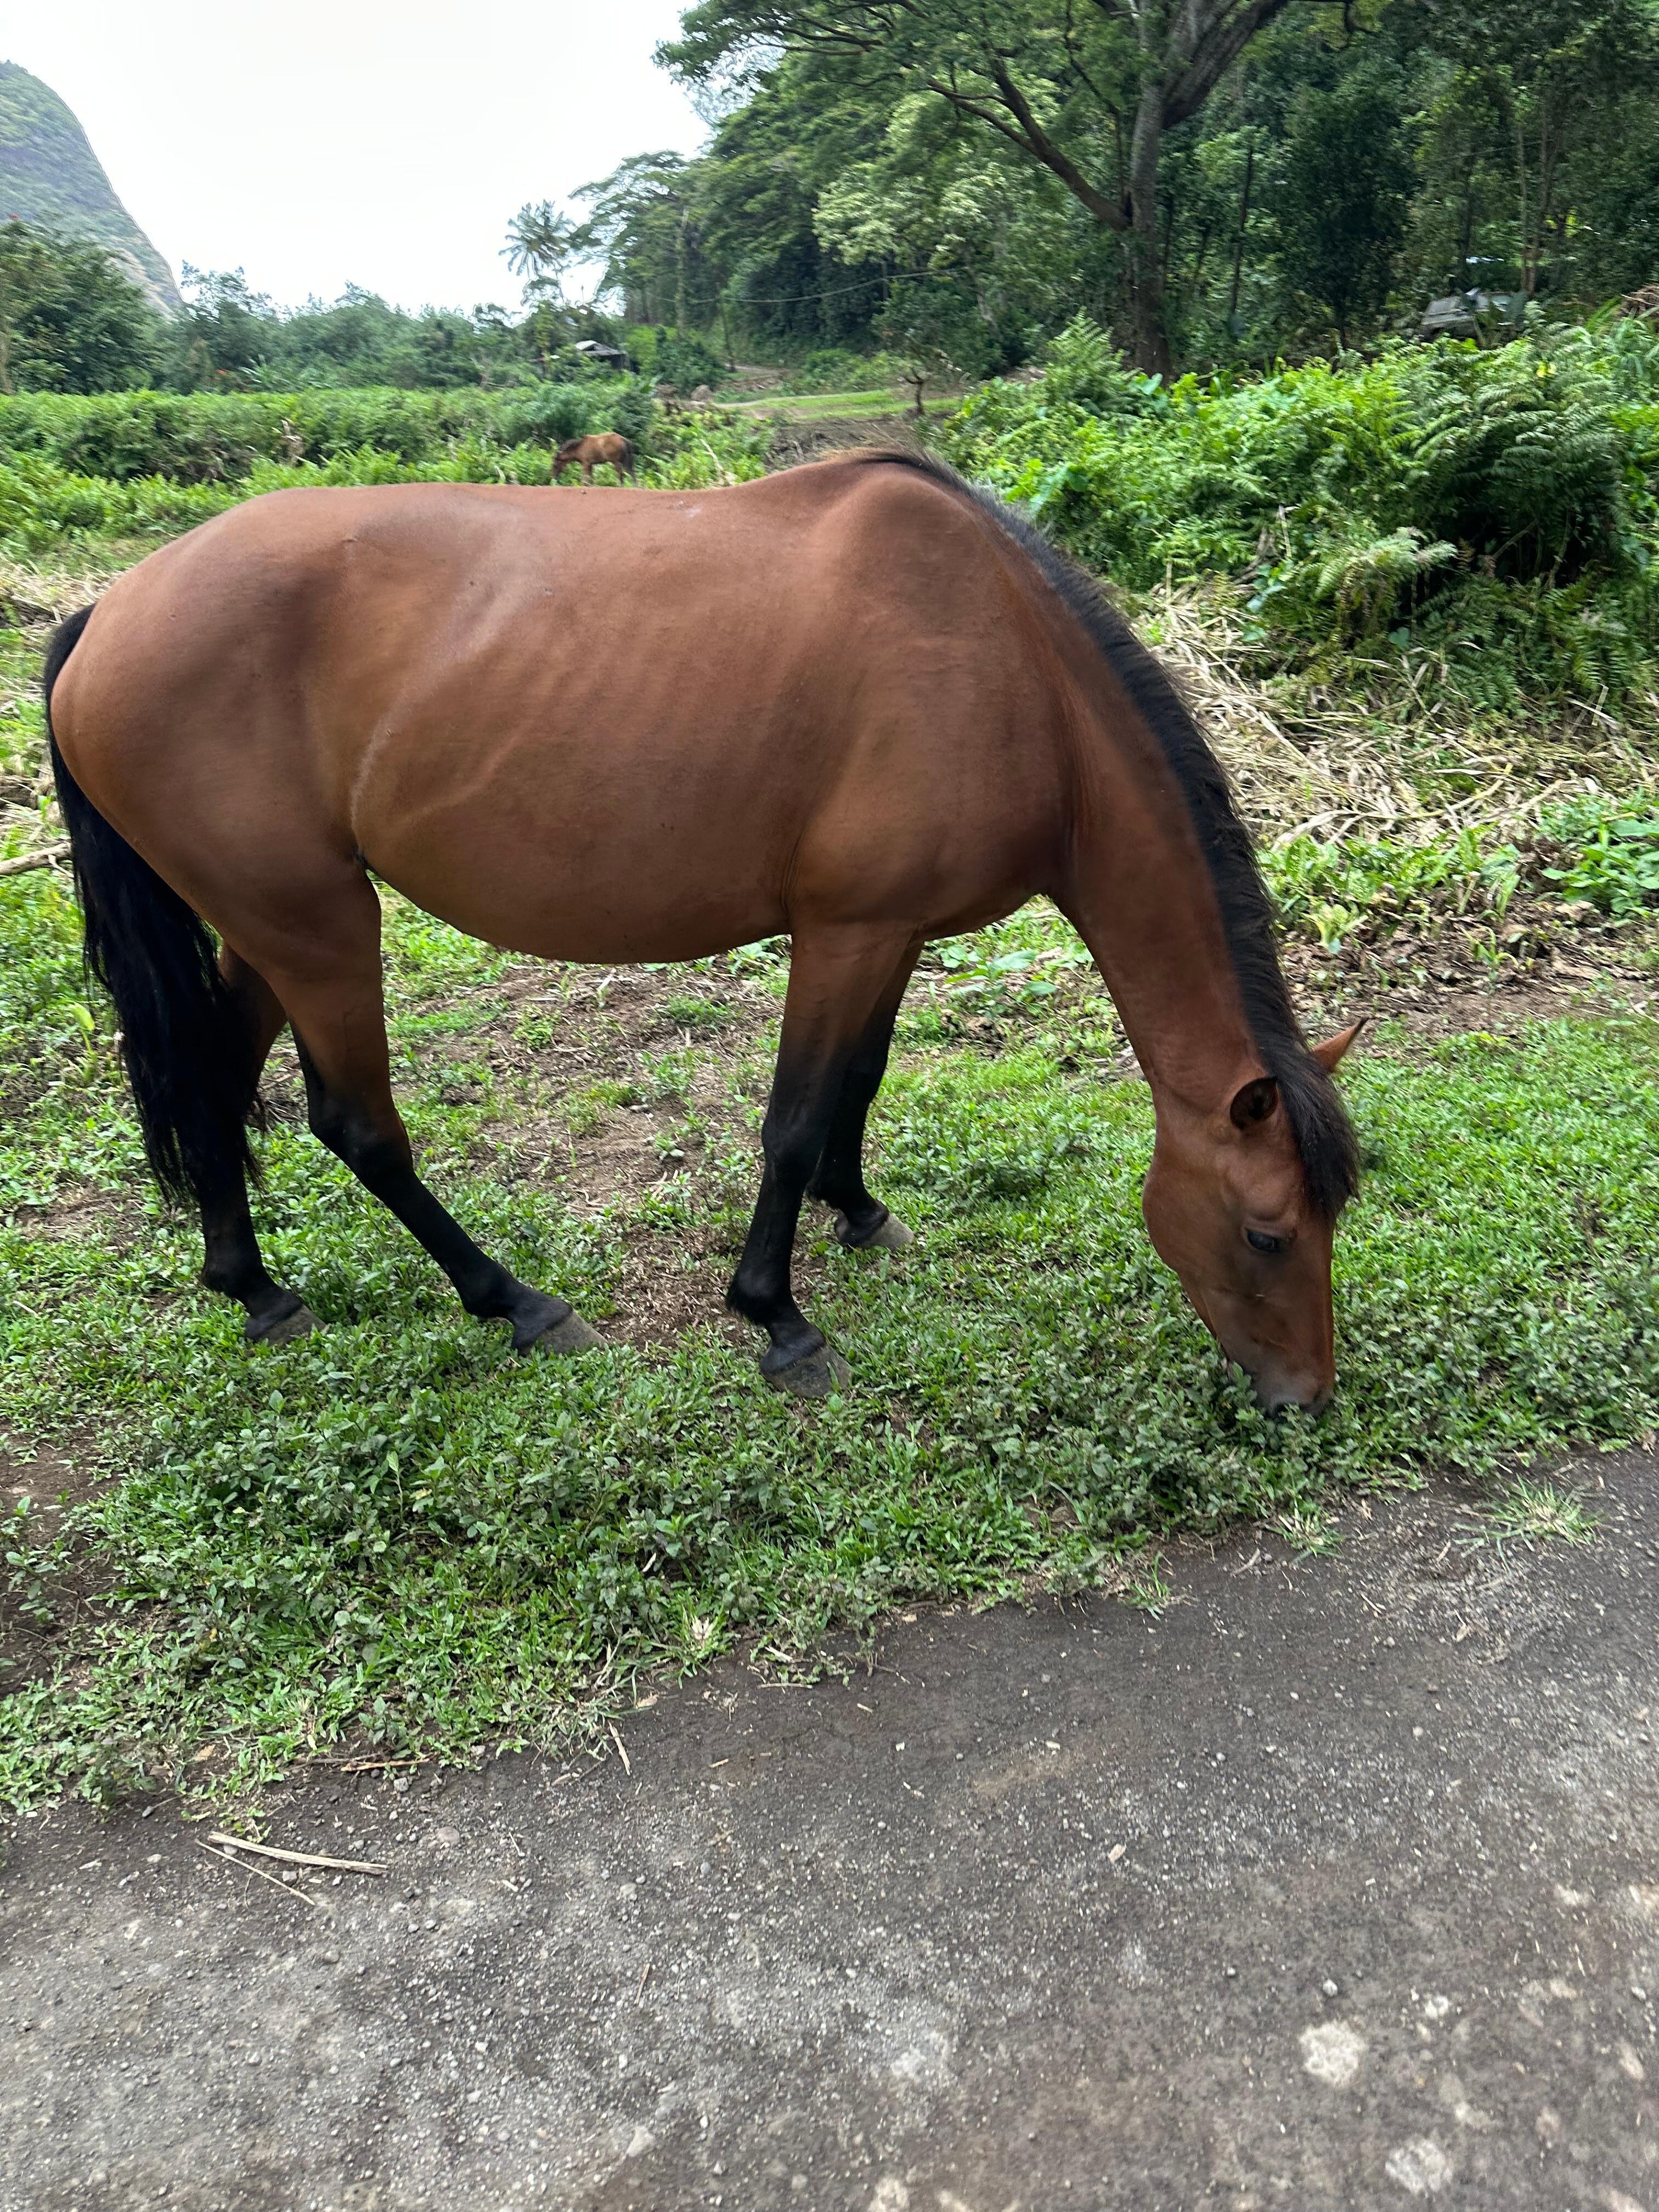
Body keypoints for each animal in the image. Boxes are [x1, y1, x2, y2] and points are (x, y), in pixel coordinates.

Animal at [43, 449, 1361, 1410]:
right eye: (1266, 1234)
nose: (1304, 1397)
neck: (1012, 669)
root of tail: (107, 612)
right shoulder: (846, 930)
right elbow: (791, 1120)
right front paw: (778, 1317)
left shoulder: (895, 932)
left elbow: (857, 1083)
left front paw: (859, 1212)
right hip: (319, 928)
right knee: (360, 1128)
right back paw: (515, 1303)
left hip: (269, 926)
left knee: (214, 1081)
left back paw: (254, 1289)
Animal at [551, 432, 634, 486]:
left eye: (555, 465)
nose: (553, 477)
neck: (578, 449)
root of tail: (624, 440)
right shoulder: (590, 465)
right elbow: (591, 480)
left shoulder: (585, 463)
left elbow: (584, 479)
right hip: (625, 461)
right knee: (632, 474)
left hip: (616, 461)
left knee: (620, 474)